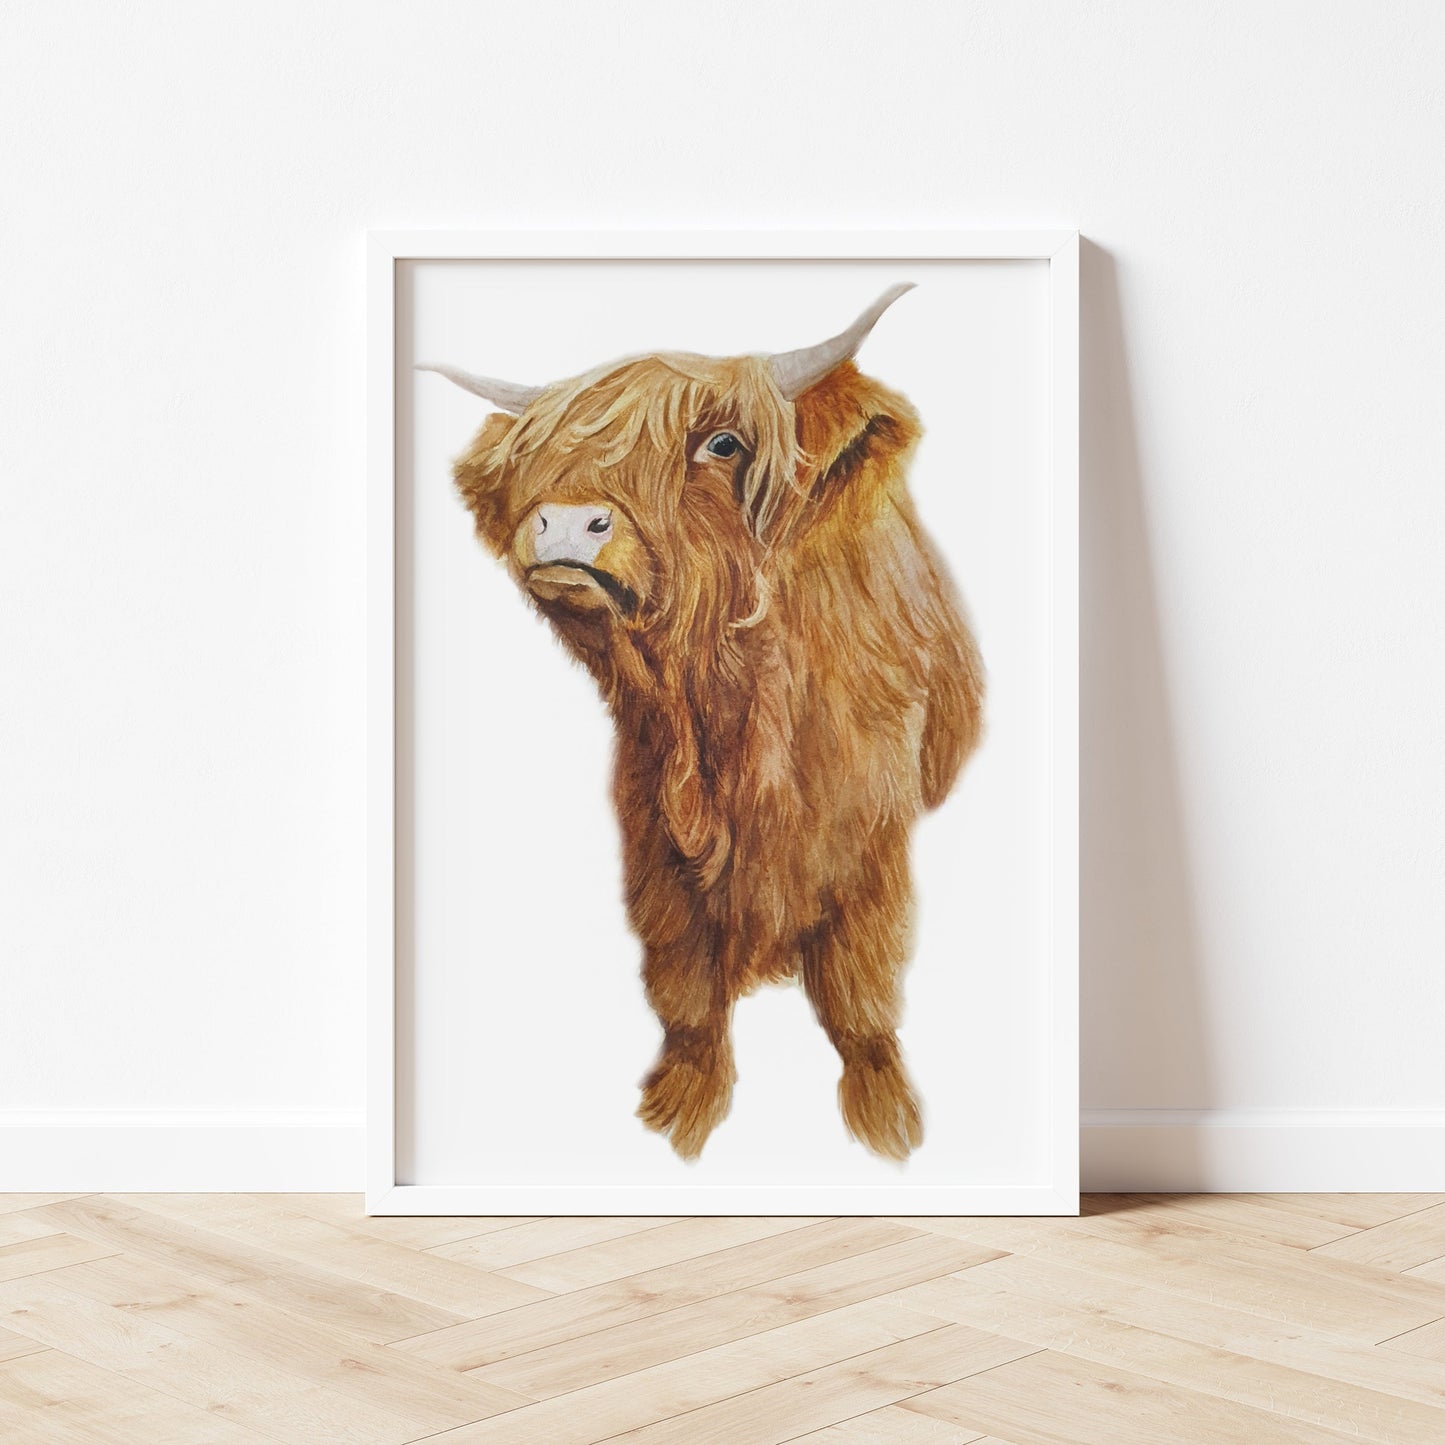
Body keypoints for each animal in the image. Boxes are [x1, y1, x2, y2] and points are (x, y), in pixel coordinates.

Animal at [422, 285, 984, 1161]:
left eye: (721, 444)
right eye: (537, 455)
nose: (566, 523)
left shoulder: (871, 842)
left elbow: (862, 994)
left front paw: (887, 1118)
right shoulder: (653, 831)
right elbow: (684, 989)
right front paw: (680, 1108)